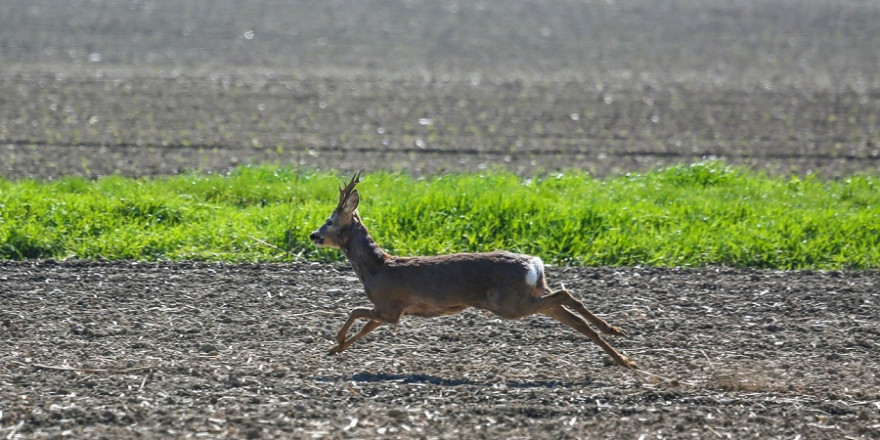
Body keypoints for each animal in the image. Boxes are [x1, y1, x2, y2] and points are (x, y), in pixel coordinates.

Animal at [310, 172, 640, 368]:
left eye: (329, 220)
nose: (313, 235)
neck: (376, 268)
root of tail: (533, 264)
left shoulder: (390, 307)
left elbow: (355, 311)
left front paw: (335, 342)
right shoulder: (389, 312)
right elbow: (364, 325)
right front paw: (335, 350)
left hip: (509, 302)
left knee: (565, 295)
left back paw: (616, 340)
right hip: (528, 293)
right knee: (571, 312)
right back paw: (623, 353)